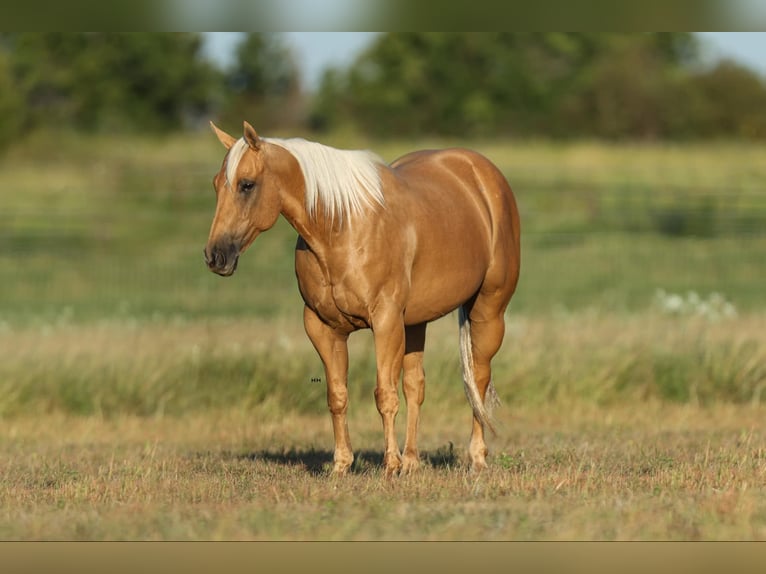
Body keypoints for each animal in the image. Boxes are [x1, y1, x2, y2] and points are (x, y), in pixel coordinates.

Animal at [204, 121, 520, 476]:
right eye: (216, 184)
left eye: (247, 185)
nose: (216, 256)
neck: (341, 228)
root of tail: (481, 173)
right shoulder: (322, 327)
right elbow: (338, 395)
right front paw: (342, 465)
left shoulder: (385, 322)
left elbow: (384, 394)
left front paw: (390, 465)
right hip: (416, 322)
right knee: (416, 386)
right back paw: (412, 461)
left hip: (488, 311)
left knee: (477, 380)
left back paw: (475, 457)